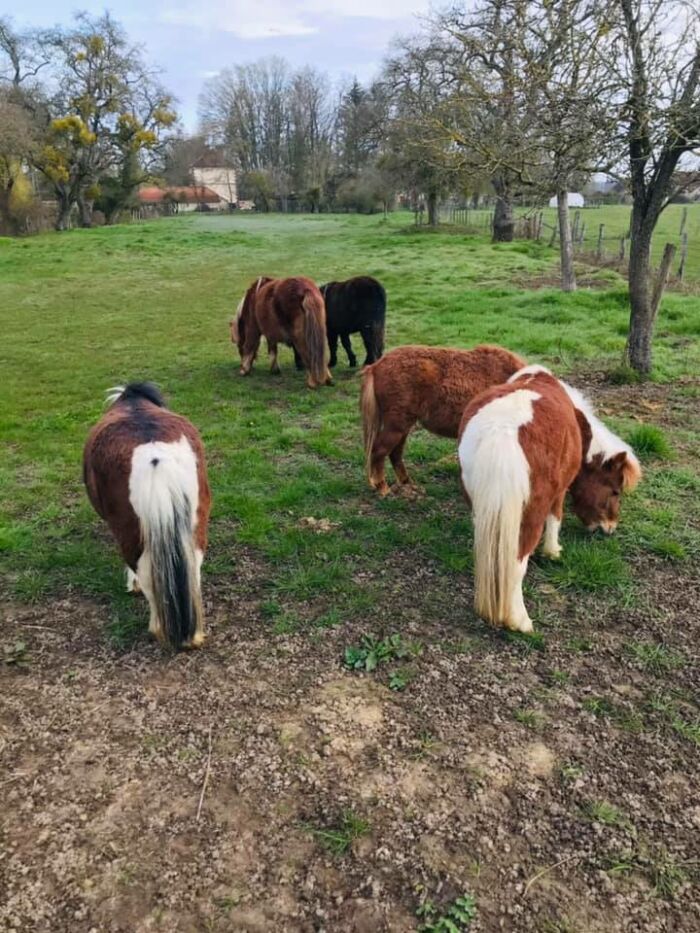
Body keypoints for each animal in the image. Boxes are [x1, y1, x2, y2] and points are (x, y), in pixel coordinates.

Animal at [82, 382, 211, 652]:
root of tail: (156, 457)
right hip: (194, 527)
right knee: (193, 568)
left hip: (132, 535)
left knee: (146, 574)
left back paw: (158, 627)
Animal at [360, 344, 524, 496]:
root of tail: (376, 366)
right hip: (397, 426)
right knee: (379, 452)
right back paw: (382, 488)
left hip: (403, 427)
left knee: (395, 453)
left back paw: (406, 482)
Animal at [460, 366, 640, 632]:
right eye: (615, 491)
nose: (610, 528)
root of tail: (502, 431)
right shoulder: (560, 489)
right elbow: (556, 518)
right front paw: (553, 551)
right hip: (530, 517)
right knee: (516, 563)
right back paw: (519, 621)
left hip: (482, 510)